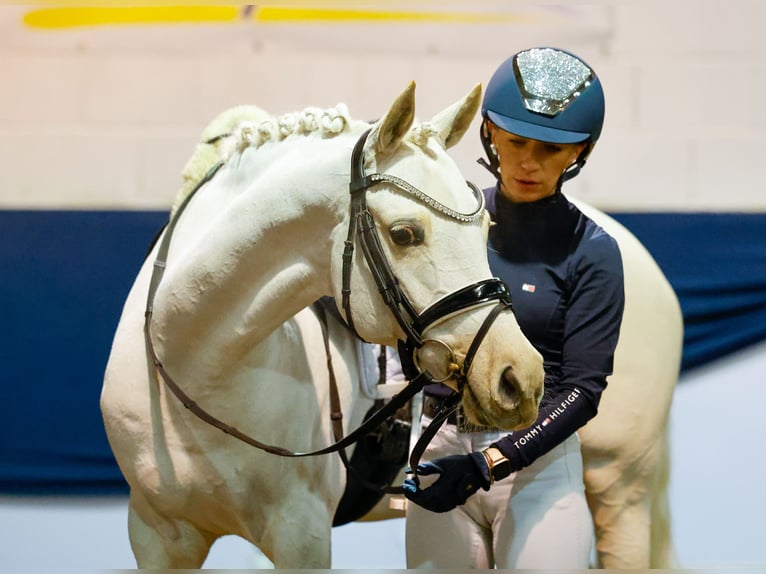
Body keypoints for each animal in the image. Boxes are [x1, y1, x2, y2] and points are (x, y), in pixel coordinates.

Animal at [100, 82, 544, 572]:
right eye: (404, 233)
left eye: (486, 227)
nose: (519, 377)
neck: (198, 364)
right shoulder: (158, 538)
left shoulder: (302, 534)